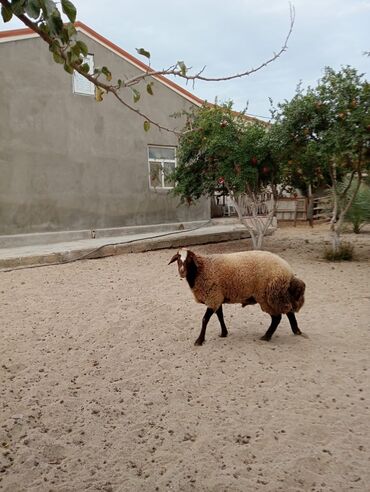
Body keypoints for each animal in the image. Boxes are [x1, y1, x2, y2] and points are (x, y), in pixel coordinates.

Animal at [169, 248, 304, 344]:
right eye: (178, 260)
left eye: (189, 259)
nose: (182, 272)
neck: (201, 270)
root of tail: (289, 272)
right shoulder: (218, 297)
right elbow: (220, 316)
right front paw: (224, 333)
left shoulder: (213, 297)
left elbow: (204, 320)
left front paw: (199, 340)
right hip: (278, 294)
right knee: (289, 310)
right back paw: (296, 330)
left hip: (267, 295)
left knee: (277, 317)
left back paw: (266, 336)